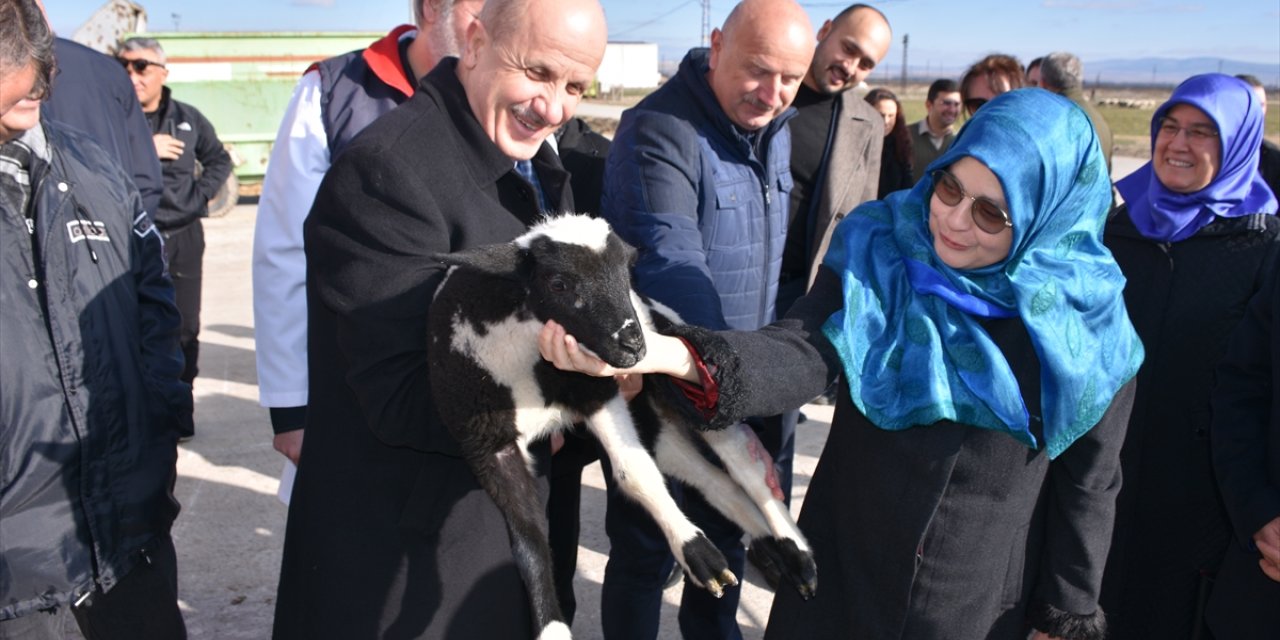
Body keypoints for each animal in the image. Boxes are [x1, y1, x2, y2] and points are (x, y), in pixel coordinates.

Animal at [424, 216, 814, 640]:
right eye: (558, 283)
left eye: (626, 270)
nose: (633, 346)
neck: (520, 362)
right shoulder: (486, 445)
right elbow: (529, 540)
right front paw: (552, 627)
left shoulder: (596, 391)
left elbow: (634, 474)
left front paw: (695, 551)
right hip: (655, 422)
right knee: (714, 481)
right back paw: (773, 547)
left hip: (689, 387)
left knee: (744, 464)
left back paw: (795, 552)